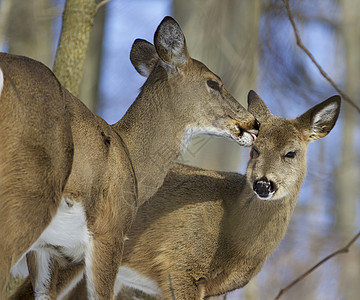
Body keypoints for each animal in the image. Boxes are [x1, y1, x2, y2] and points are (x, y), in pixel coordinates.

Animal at [0, 17, 260, 300]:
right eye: (213, 83)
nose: (254, 123)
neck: (131, 159)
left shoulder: (47, 248)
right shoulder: (110, 230)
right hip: (28, 191)